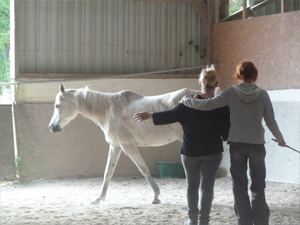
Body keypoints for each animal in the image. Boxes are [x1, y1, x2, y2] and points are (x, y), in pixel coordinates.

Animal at [48, 84, 200, 204]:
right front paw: (99, 198)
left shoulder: (128, 146)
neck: (108, 111)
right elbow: (108, 172)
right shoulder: (115, 147)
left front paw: (156, 197)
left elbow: (143, 169)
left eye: (57, 105)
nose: (52, 127)